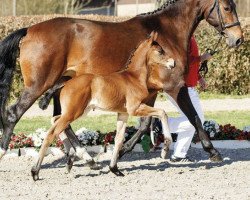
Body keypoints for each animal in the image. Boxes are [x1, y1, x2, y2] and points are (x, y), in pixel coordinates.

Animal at [0, 0, 242, 162]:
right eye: (227, 7)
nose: (238, 39)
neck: (167, 32)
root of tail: (29, 30)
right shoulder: (175, 87)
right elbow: (194, 117)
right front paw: (213, 152)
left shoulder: (150, 91)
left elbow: (145, 124)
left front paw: (125, 149)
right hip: (39, 85)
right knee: (14, 114)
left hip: (63, 86)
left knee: (61, 121)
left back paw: (86, 157)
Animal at [31, 32, 176, 180]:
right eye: (160, 51)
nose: (173, 63)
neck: (133, 78)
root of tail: (66, 83)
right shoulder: (135, 109)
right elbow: (162, 112)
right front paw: (165, 150)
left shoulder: (123, 114)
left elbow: (118, 139)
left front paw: (115, 169)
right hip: (74, 112)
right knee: (52, 132)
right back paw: (36, 171)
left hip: (79, 111)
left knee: (55, 121)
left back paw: (71, 159)